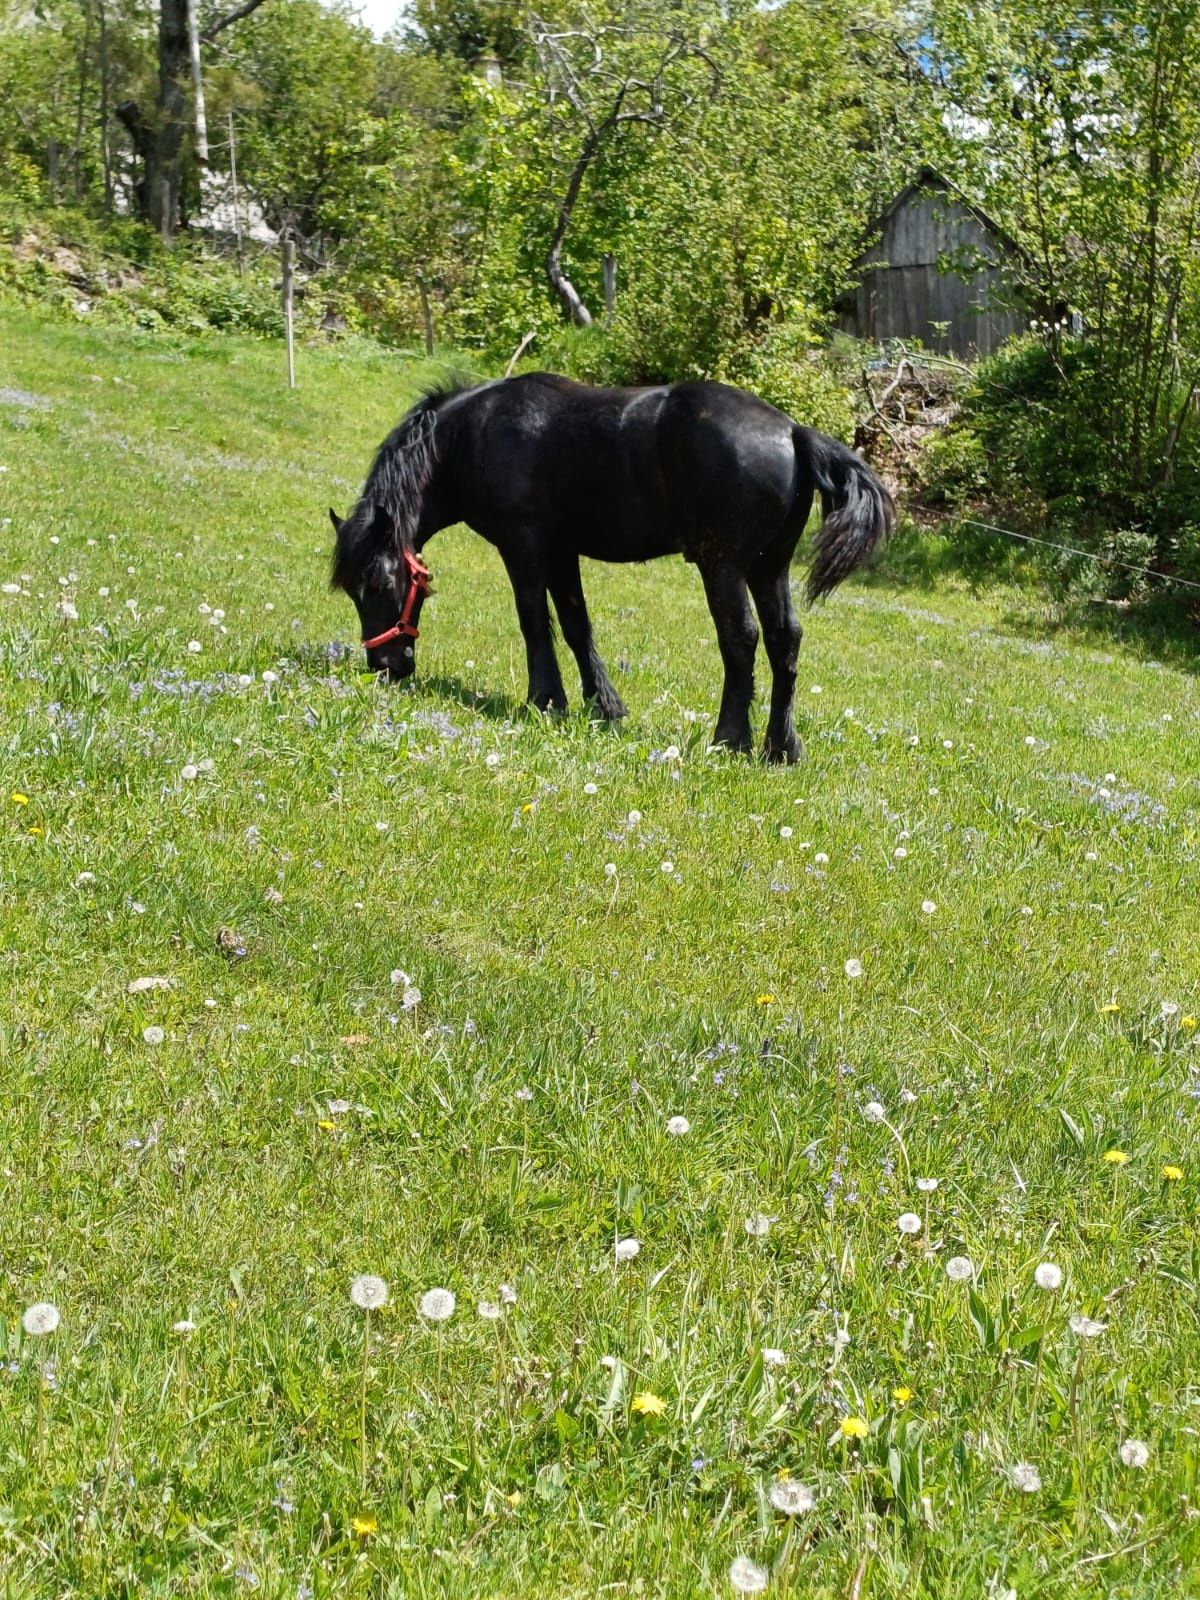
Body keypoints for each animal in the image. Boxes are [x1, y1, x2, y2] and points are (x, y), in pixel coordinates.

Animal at [329, 371, 896, 758]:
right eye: (352, 592)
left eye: (382, 583)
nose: (384, 666)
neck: (474, 435)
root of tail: (794, 432)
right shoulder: (561, 551)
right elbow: (577, 626)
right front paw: (604, 706)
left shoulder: (524, 545)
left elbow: (534, 621)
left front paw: (545, 700)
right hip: (767, 568)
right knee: (784, 641)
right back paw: (781, 748)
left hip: (724, 567)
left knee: (741, 640)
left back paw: (729, 739)